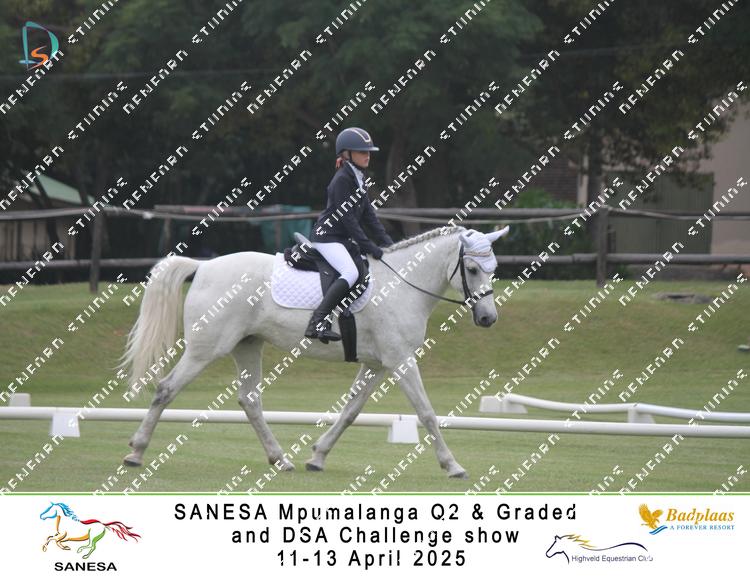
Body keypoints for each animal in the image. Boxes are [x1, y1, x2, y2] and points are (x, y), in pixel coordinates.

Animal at [120, 225, 508, 479]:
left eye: (494, 269)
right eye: (472, 268)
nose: (488, 318)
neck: (402, 285)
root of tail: (204, 266)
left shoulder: (377, 364)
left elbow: (351, 411)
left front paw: (318, 457)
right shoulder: (400, 360)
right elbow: (426, 412)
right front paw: (452, 465)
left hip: (248, 345)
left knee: (250, 400)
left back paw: (281, 460)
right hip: (206, 349)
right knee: (166, 388)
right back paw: (136, 452)